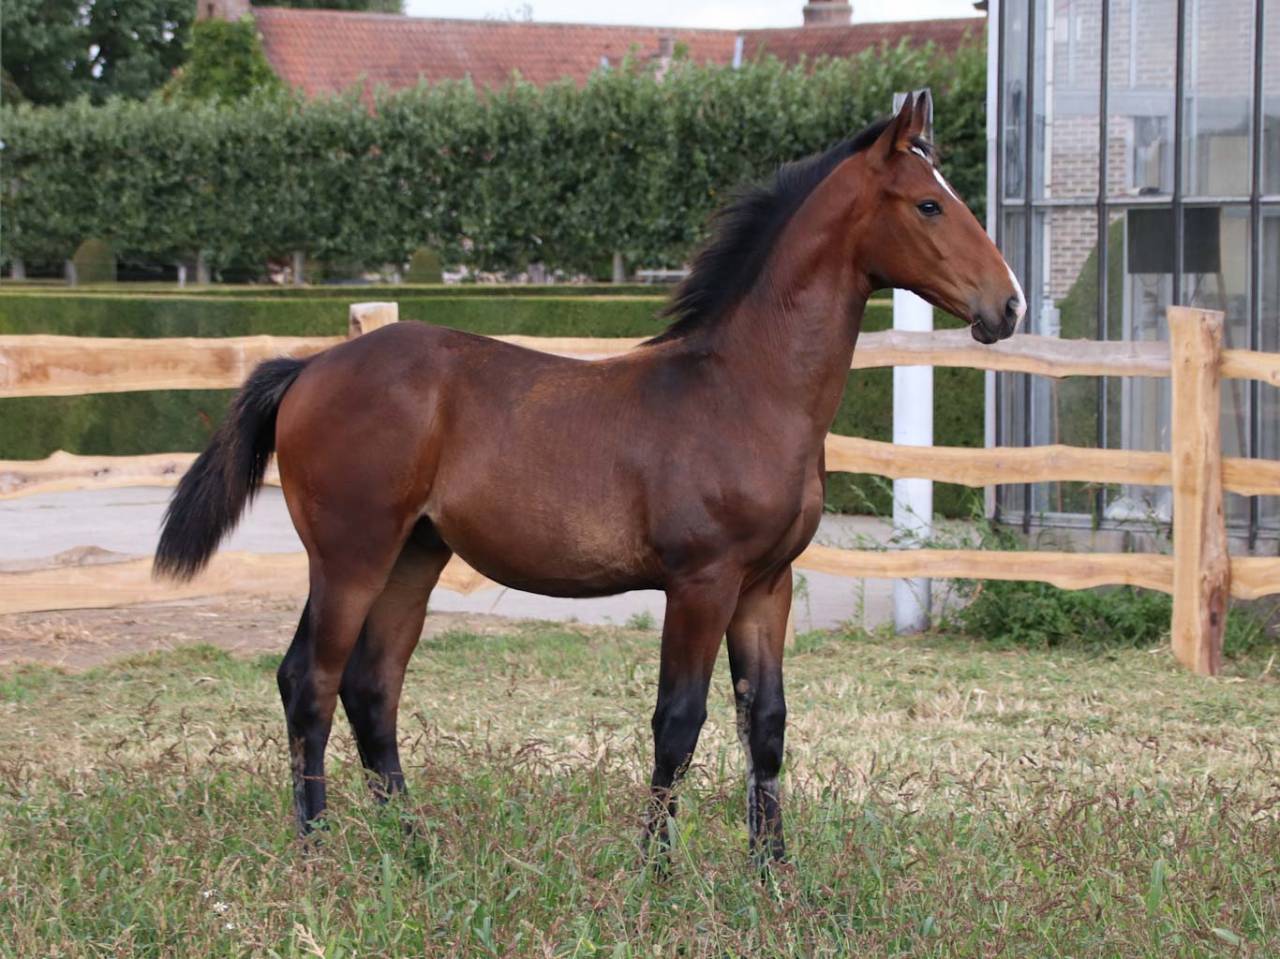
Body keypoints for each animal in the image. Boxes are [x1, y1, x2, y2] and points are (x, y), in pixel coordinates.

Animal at [155, 91, 1025, 866]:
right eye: (928, 205)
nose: (1008, 305)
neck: (744, 389)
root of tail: (308, 368)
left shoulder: (766, 583)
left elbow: (767, 722)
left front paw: (774, 873)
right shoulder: (702, 581)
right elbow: (679, 720)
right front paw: (655, 870)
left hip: (413, 555)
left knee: (372, 688)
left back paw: (415, 849)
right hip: (350, 556)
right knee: (311, 680)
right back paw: (316, 851)